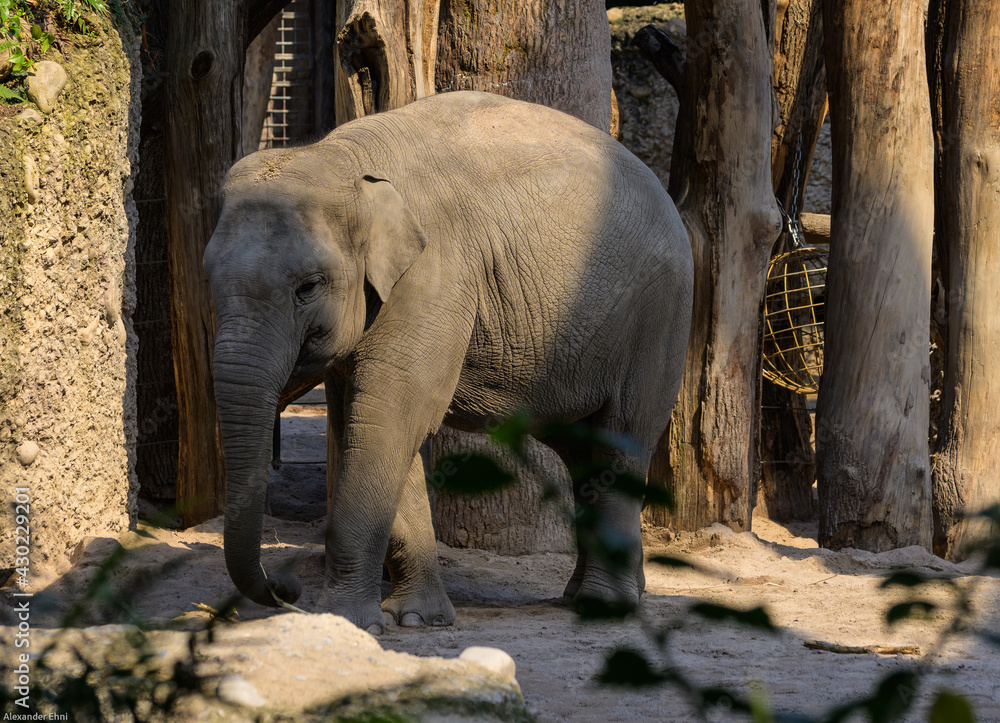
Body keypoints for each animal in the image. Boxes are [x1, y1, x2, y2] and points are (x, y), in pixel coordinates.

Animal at [203, 90, 693, 635]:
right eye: (208, 278)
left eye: (307, 287)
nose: (284, 588)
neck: (345, 157)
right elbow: (363, 423)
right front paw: (417, 619)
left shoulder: (437, 275)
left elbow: (387, 420)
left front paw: (347, 622)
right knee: (581, 451)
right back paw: (587, 596)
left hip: (660, 317)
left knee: (622, 438)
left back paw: (605, 607)